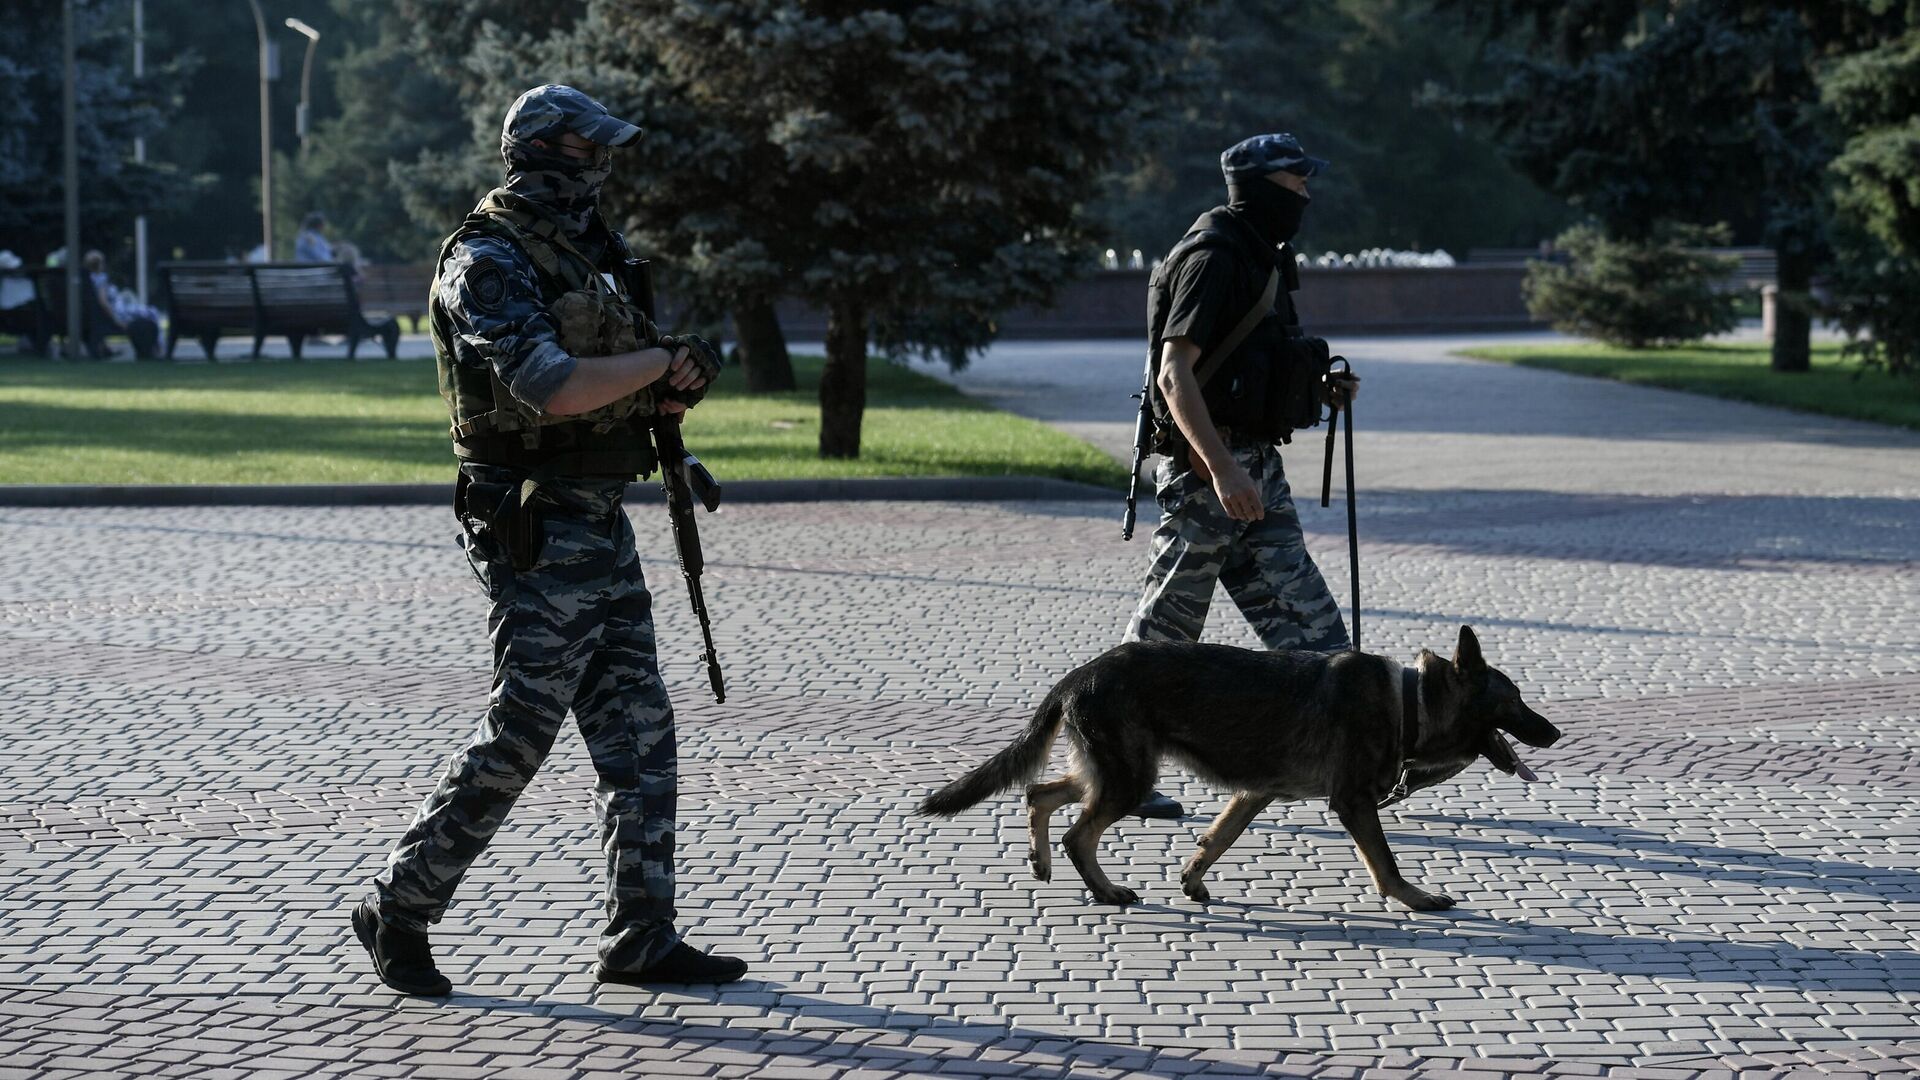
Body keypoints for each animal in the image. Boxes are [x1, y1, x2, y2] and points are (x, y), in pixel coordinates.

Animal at [917, 622, 1559, 907]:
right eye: (1514, 700)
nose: (1555, 733)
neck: (1410, 702)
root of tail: (1081, 673)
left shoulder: (1254, 793)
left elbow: (1215, 841)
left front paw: (1193, 880)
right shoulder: (1352, 803)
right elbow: (1386, 863)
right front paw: (1416, 899)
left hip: (1115, 772)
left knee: (1040, 794)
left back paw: (1041, 859)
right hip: (1129, 779)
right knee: (1078, 832)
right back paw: (1104, 889)